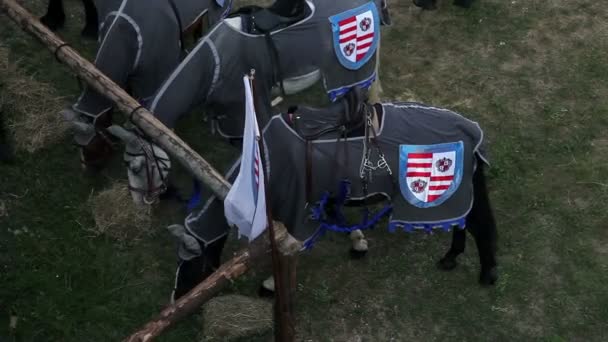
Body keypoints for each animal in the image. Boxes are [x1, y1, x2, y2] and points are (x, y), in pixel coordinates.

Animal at [60, 0, 234, 171]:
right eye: (78, 145)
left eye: (92, 145)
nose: (88, 169)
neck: (125, 31)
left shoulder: (153, 77)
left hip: (217, 15)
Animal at [108, 87, 498, 300]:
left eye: (190, 265)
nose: (177, 297)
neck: (263, 166)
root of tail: (470, 129)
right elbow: (337, 218)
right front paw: (358, 242)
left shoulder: (294, 210)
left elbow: (288, 253)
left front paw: (269, 286)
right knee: (465, 223)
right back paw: (452, 257)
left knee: (480, 226)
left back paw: (486, 272)